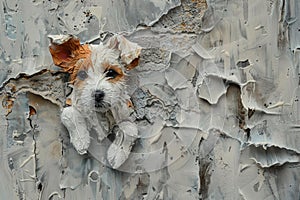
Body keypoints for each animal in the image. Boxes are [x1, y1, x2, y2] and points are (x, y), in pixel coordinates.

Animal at [48, 34, 141, 169]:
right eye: (82, 74)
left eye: (111, 72)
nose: (97, 94)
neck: (101, 113)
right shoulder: (71, 102)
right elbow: (68, 113)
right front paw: (81, 139)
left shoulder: (125, 112)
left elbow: (130, 129)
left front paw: (117, 154)